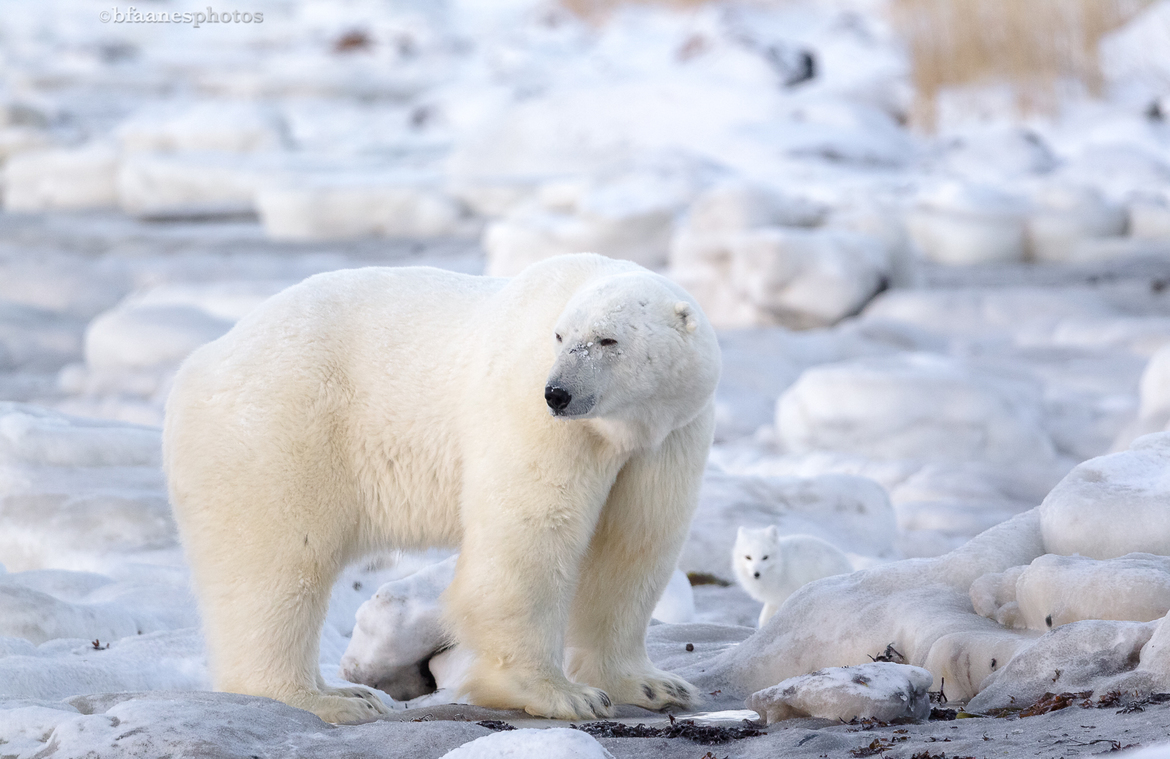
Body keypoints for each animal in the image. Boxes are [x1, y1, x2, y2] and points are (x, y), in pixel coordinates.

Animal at [163, 253, 721, 724]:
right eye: (561, 337)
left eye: (609, 340)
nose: (557, 393)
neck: (622, 428)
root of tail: (201, 362)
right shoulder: (531, 417)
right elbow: (532, 536)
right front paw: (557, 693)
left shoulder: (668, 435)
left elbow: (633, 545)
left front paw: (652, 686)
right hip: (280, 431)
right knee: (275, 566)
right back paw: (326, 699)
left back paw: (348, 692)